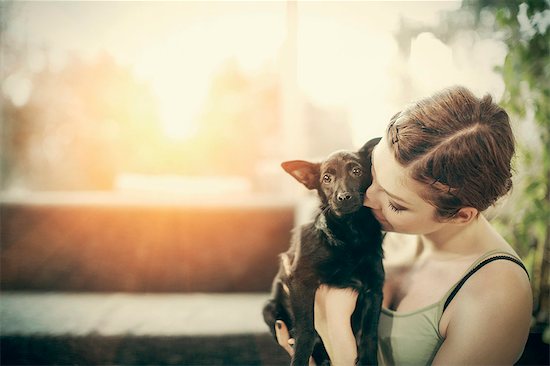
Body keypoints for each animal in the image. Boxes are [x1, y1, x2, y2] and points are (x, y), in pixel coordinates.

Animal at [266, 138, 386, 366]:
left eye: (356, 171)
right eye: (326, 178)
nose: (343, 197)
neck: (349, 233)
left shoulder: (374, 289)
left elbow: (370, 333)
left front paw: (367, 361)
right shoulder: (300, 279)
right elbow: (306, 330)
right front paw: (299, 359)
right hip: (270, 311)